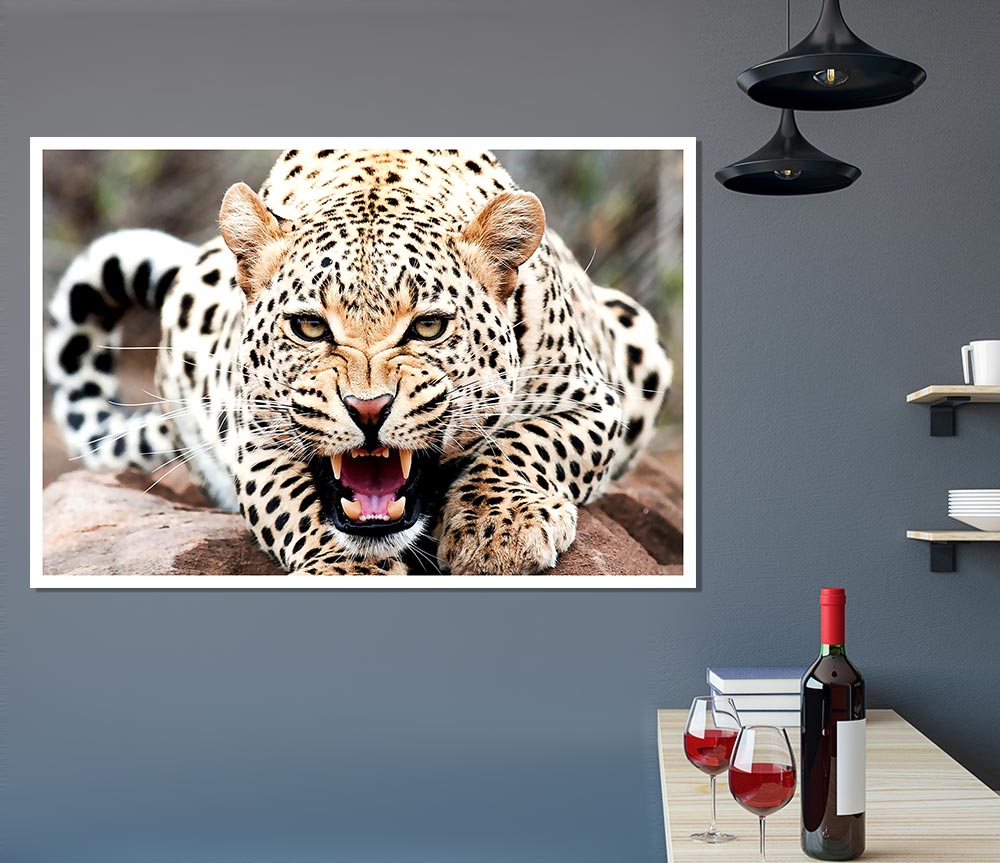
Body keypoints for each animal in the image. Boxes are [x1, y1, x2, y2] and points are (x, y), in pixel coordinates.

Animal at [45, 149, 672, 575]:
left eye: (428, 327)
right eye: (309, 327)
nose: (368, 410)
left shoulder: (594, 401)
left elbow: (528, 442)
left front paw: (497, 530)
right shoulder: (255, 438)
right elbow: (297, 503)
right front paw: (347, 568)